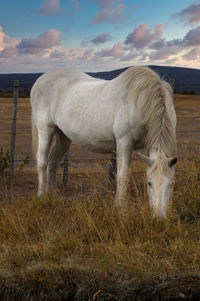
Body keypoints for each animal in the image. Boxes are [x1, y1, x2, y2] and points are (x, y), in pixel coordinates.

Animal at [30, 67, 177, 218]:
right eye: (149, 183)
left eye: (172, 184)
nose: (159, 218)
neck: (141, 101)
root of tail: (41, 79)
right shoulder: (124, 142)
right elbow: (123, 175)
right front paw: (120, 208)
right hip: (45, 129)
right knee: (42, 162)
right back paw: (41, 196)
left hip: (63, 136)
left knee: (53, 162)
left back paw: (53, 196)